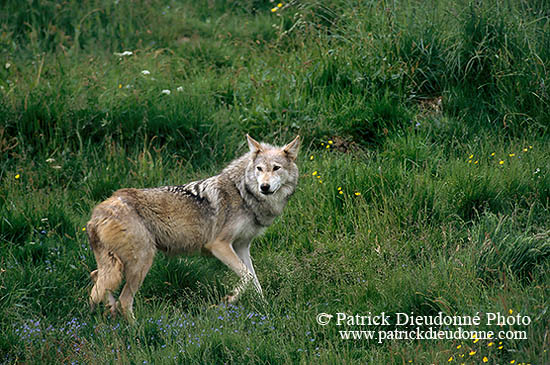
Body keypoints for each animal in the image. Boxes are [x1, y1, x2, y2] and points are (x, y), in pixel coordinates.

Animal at [87, 135, 302, 320]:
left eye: (276, 168)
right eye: (259, 168)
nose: (264, 187)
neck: (242, 193)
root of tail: (97, 214)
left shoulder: (242, 247)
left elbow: (254, 281)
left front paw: (264, 307)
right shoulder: (219, 245)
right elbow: (248, 278)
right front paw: (230, 299)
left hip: (118, 265)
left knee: (96, 278)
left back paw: (110, 312)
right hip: (141, 263)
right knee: (123, 300)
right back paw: (137, 330)